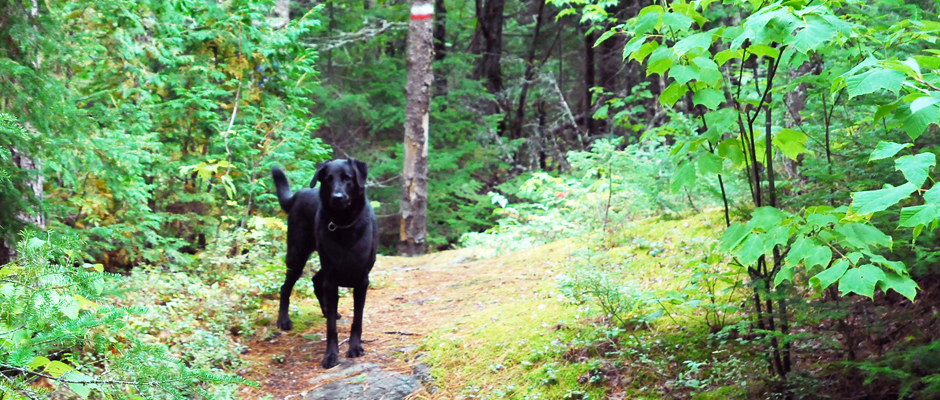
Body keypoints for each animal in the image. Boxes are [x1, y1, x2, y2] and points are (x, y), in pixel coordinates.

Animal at [272, 159, 378, 368]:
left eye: (347, 177)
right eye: (328, 179)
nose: (337, 197)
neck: (344, 224)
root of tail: (297, 195)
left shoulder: (362, 281)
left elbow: (357, 320)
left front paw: (355, 348)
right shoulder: (331, 280)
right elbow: (331, 328)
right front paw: (331, 355)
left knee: (315, 280)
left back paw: (328, 310)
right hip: (297, 256)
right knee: (285, 287)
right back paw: (284, 320)